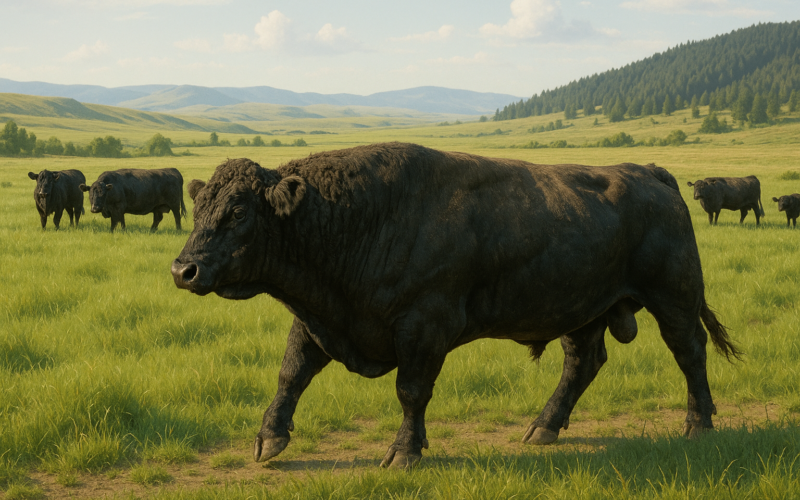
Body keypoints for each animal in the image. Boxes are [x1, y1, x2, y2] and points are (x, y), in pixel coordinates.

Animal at [170, 143, 739, 469]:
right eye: (200, 207)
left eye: (239, 211)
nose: (183, 270)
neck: (359, 214)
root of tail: (652, 173)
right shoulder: (320, 321)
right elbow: (291, 375)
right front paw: (269, 439)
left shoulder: (424, 327)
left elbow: (411, 391)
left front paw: (404, 452)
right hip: (582, 310)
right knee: (583, 363)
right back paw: (543, 427)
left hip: (673, 298)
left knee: (690, 353)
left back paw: (699, 424)